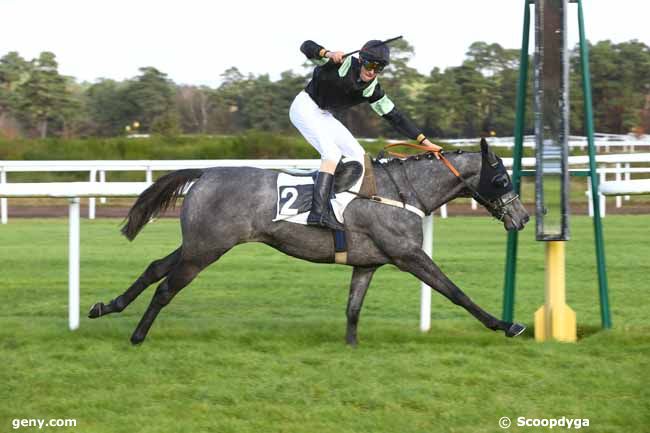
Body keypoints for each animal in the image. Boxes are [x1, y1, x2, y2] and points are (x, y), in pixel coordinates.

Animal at [90, 140, 528, 346]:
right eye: (502, 178)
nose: (522, 218)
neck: (401, 191)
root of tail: (206, 173)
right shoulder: (407, 254)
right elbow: (455, 292)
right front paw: (506, 324)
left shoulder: (367, 263)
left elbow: (353, 308)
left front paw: (351, 347)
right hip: (206, 250)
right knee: (166, 287)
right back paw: (137, 335)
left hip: (198, 245)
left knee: (154, 269)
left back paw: (105, 306)